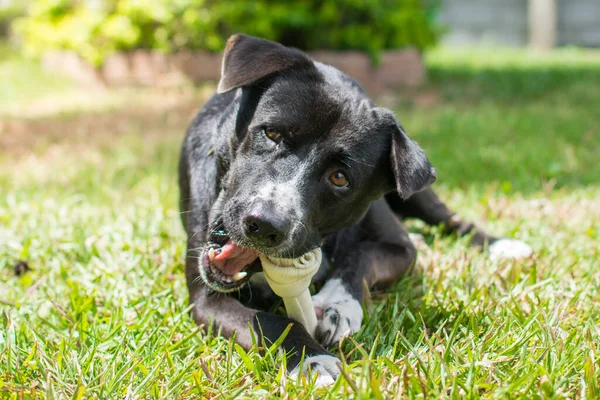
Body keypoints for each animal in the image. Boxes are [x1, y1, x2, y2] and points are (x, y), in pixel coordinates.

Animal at [178, 32, 528, 382]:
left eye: (340, 178)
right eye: (271, 133)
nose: (265, 224)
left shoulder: (401, 250)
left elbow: (361, 255)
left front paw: (338, 305)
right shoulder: (206, 298)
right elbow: (268, 321)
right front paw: (313, 359)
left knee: (450, 220)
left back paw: (503, 245)